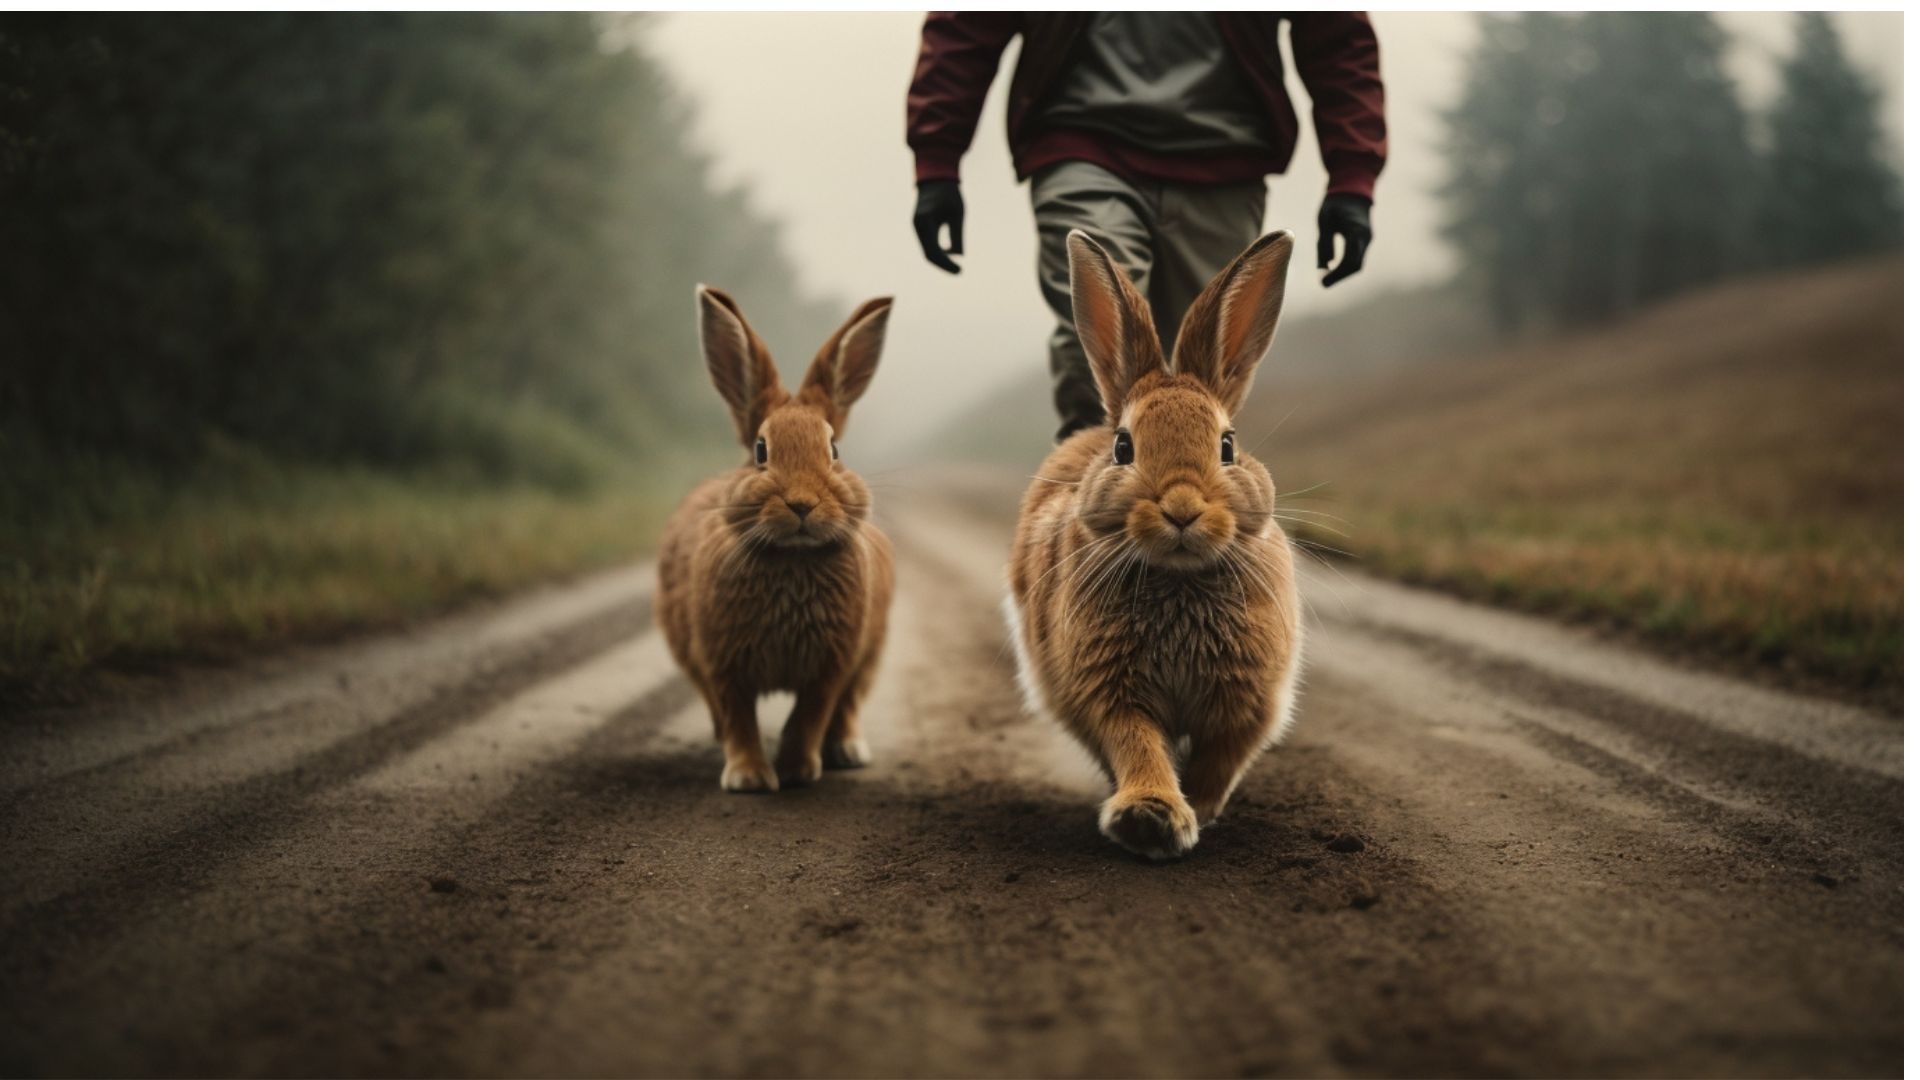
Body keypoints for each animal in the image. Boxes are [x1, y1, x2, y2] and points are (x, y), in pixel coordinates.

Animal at [657, 287, 895, 793]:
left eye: (834, 449)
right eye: (760, 450)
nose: (802, 504)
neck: (793, 559)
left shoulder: (831, 666)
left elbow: (811, 716)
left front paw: (798, 770)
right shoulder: (723, 664)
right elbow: (739, 718)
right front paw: (749, 777)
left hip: (871, 651)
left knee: (849, 706)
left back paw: (847, 751)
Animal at [1006, 229, 1304, 860]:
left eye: (1227, 446)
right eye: (1124, 447)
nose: (1182, 509)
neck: (1180, 577)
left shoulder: (1249, 698)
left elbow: (1222, 758)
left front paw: (1199, 808)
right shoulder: (1108, 689)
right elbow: (1136, 744)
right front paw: (1153, 816)